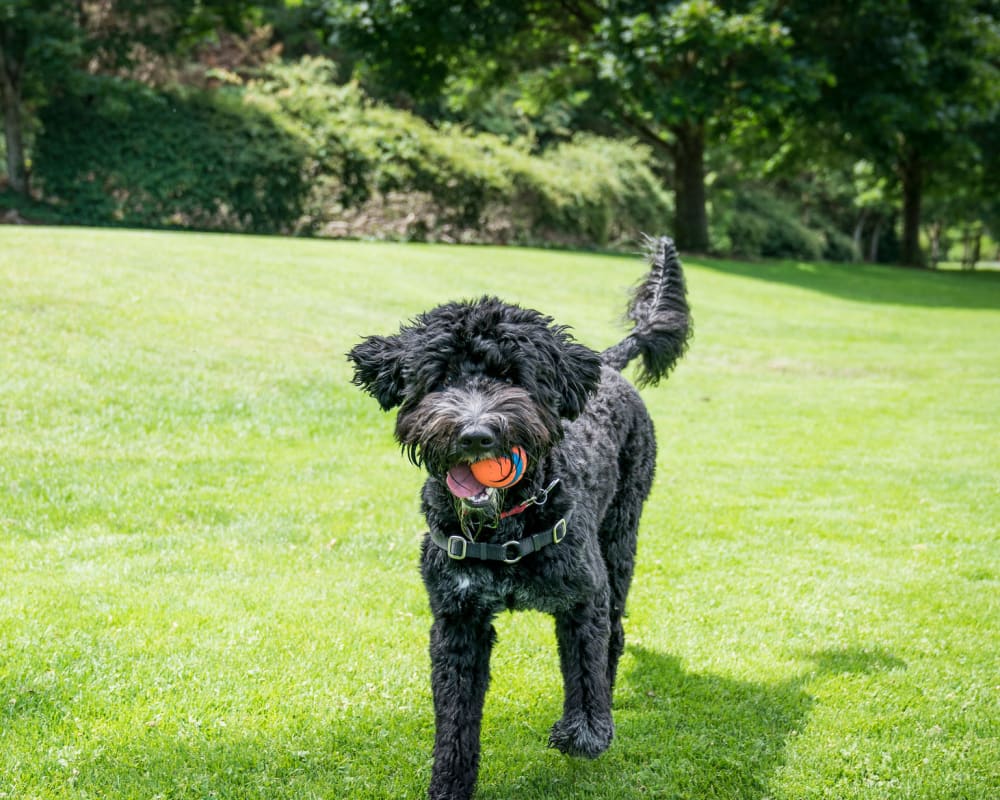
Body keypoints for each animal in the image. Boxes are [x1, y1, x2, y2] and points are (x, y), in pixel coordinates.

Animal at [350, 238, 688, 800]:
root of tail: (607, 365)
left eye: (512, 377)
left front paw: (583, 730)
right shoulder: (457, 621)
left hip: (621, 539)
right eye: (441, 378)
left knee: (614, 633)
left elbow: (585, 670)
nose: (475, 434)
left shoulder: (584, 597)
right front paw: (449, 783)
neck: (504, 525)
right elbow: (455, 719)